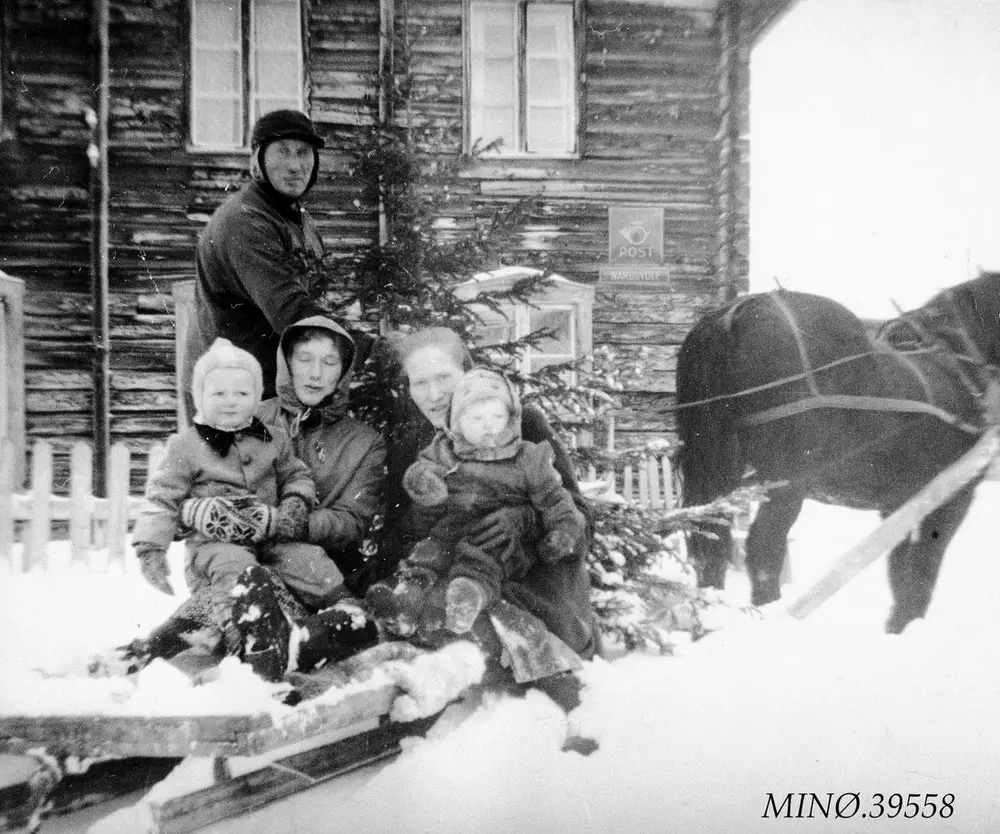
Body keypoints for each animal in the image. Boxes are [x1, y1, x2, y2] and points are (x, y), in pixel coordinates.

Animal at [672, 272, 1000, 632]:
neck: (957, 363)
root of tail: (737, 312)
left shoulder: (900, 502)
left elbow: (899, 569)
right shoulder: (952, 498)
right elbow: (923, 569)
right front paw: (907, 624)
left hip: (721, 471)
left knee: (709, 542)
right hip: (786, 482)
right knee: (763, 548)